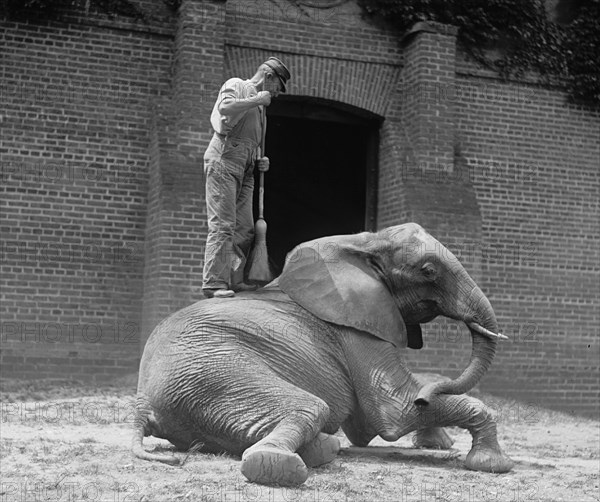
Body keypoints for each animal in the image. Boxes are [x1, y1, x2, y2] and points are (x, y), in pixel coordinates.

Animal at [132, 222, 516, 484]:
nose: (427, 400)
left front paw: (437, 440)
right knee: (310, 406)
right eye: (429, 271)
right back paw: (280, 464)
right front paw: (492, 465)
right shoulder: (354, 328)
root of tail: (143, 406)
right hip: (215, 374)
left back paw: (326, 448)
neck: (364, 241)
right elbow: (395, 412)